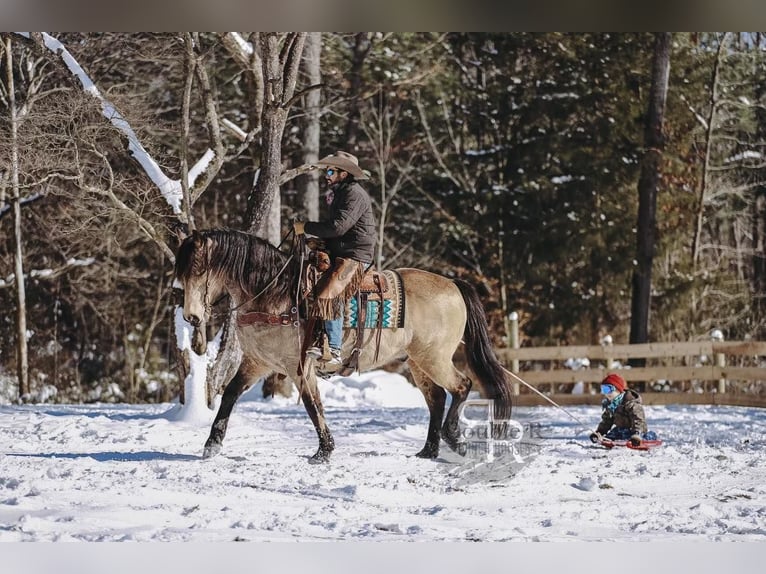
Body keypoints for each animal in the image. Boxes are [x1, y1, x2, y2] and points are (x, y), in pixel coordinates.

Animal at [175, 230, 516, 464]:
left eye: (199, 270)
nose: (191, 316)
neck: (274, 294)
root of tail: (453, 285)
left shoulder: (299, 366)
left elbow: (313, 405)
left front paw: (323, 451)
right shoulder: (257, 362)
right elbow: (230, 394)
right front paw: (211, 444)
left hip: (435, 358)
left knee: (462, 386)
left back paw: (453, 438)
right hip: (419, 362)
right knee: (437, 398)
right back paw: (429, 450)